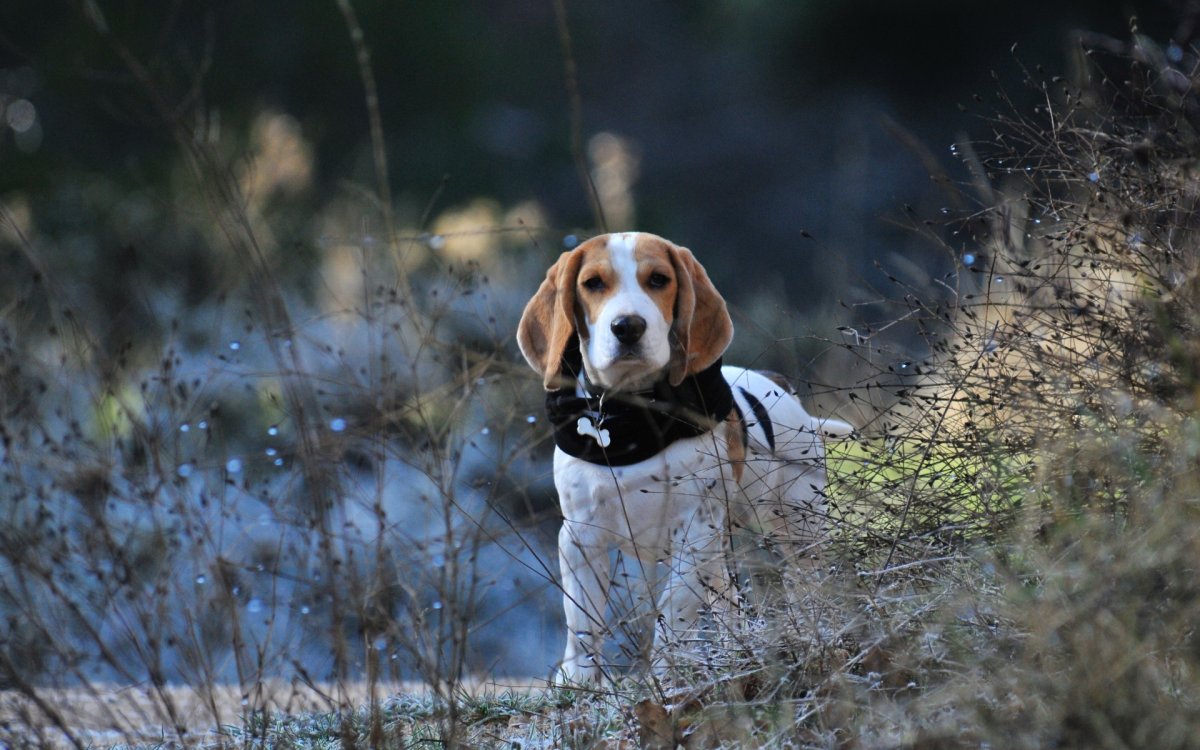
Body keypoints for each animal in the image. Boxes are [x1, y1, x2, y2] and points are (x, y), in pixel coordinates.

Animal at [518, 231, 854, 681]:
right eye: (592, 283)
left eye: (659, 279)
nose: (628, 326)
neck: (633, 419)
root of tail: (779, 387)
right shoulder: (580, 537)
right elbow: (583, 624)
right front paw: (578, 681)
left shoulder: (694, 532)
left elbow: (673, 611)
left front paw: (666, 674)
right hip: (723, 550)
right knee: (729, 604)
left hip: (799, 528)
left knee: (808, 585)